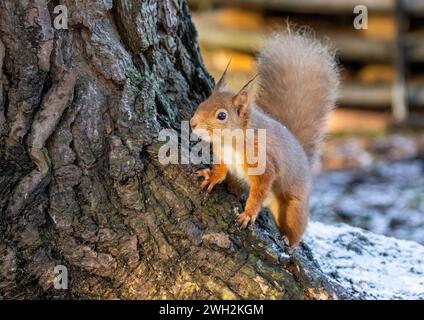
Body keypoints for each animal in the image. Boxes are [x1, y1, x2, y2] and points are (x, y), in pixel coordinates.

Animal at [190, 30, 340, 246]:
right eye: (202, 103)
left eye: (221, 115)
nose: (193, 123)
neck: (230, 142)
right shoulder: (223, 157)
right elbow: (221, 169)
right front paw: (211, 176)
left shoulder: (264, 164)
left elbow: (260, 189)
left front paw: (248, 213)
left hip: (294, 206)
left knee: (296, 227)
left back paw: (288, 241)